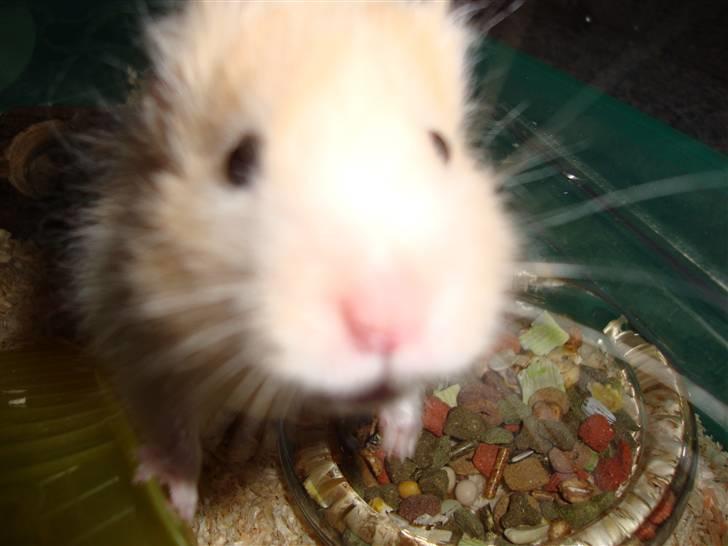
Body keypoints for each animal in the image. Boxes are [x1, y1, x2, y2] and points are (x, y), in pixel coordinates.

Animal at [73, 1, 516, 521]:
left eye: (442, 147)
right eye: (239, 162)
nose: (386, 326)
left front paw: (400, 446)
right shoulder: (142, 339)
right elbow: (172, 424)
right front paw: (176, 499)